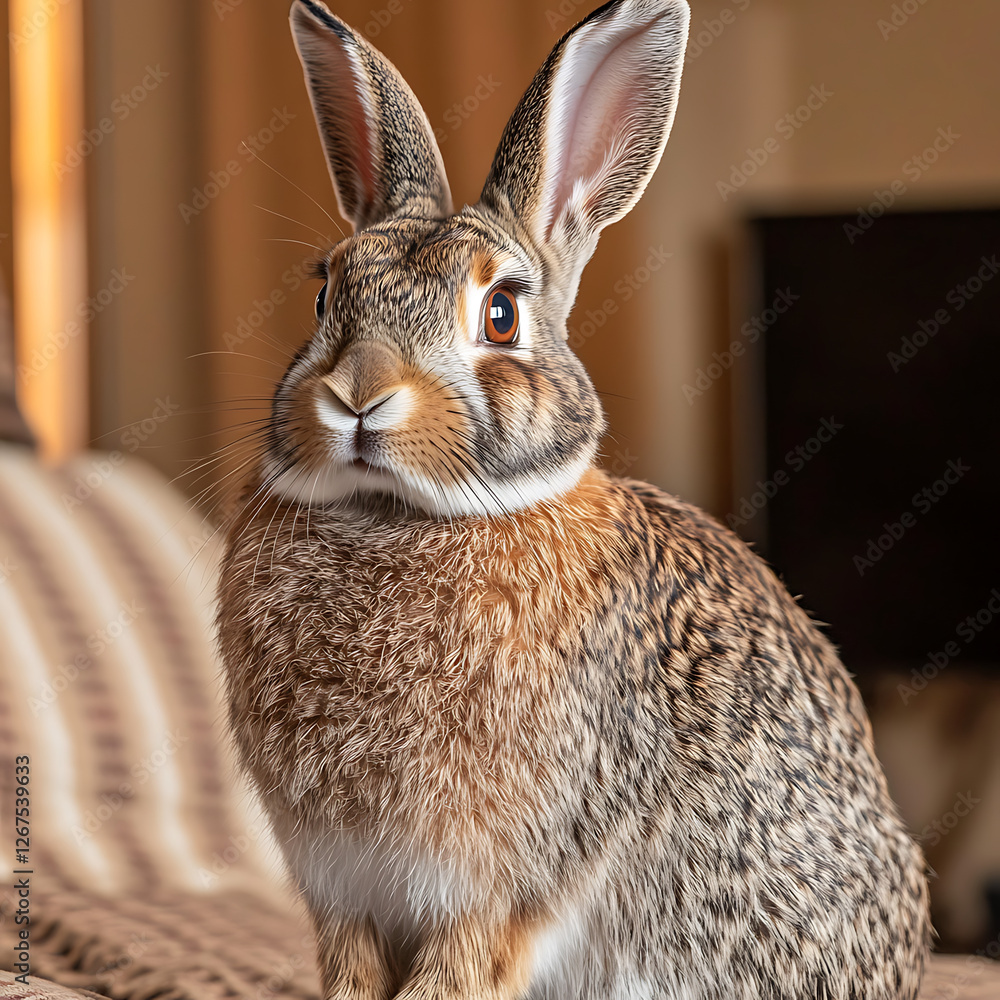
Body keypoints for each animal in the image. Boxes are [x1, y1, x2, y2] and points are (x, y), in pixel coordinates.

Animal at [217, 0, 932, 997]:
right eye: (325, 295)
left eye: (502, 315)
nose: (358, 395)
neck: (399, 514)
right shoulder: (343, 886)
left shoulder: (495, 882)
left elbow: (455, 971)